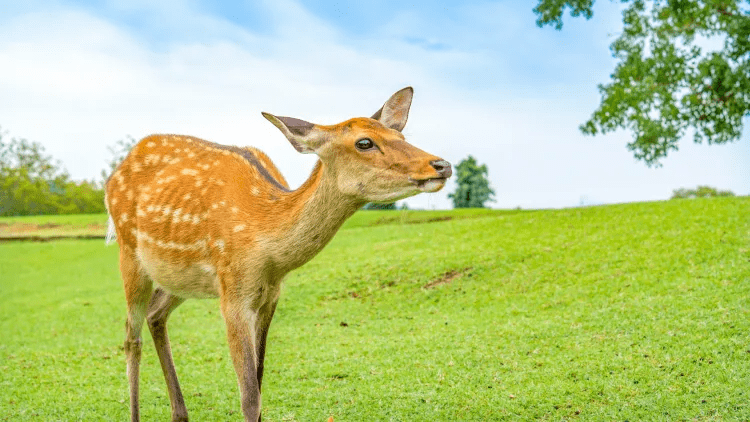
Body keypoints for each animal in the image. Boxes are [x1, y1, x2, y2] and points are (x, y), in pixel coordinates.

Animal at [105, 87, 452, 420]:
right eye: (364, 142)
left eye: (402, 137)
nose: (442, 164)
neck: (268, 251)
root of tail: (114, 174)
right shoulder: (233, 293)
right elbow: (249, 398)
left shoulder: (270, 294)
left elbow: (259, 385)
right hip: (129, 254)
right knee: (130, 337)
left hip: (180, 278)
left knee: (155, 314)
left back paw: (180, 414)